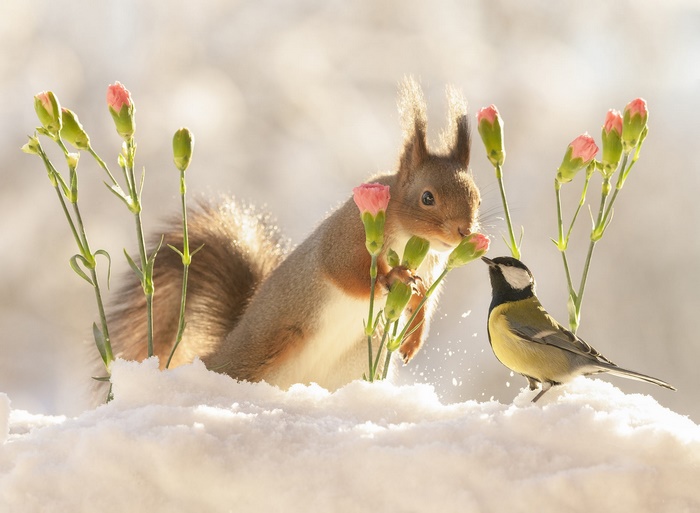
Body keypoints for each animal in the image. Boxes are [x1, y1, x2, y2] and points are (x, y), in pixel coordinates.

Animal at [105, 77, 481, 393]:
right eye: (427, 198)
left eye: (477, 198)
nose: (463, 232)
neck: (409, 239)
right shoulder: (346, 238)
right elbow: (346, 273)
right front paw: (394, 277)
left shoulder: (433, 266)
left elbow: (424, 301)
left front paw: (414, 337)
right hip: (269, 344)